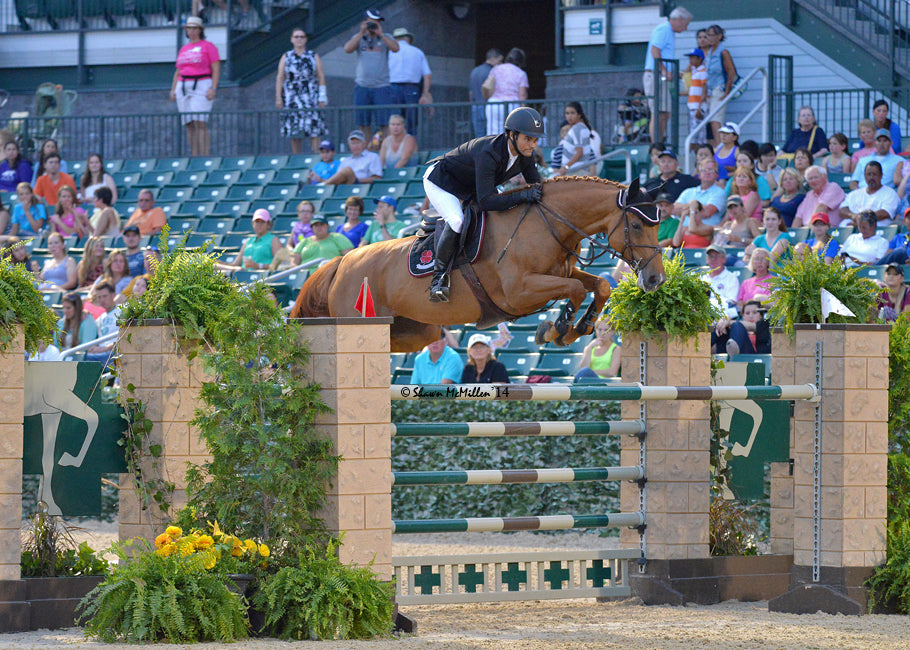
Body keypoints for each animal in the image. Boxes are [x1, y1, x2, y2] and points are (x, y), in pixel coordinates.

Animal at [290, 176, 665, 353]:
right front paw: (557, 329)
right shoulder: (518, 292)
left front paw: (580, 326)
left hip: (416, 331)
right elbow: (574, 289)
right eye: (636, 225)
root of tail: (341, 261)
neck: (548, 223)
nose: (655, 280)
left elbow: (599, 285)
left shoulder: (559, 272)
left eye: (658, 224)